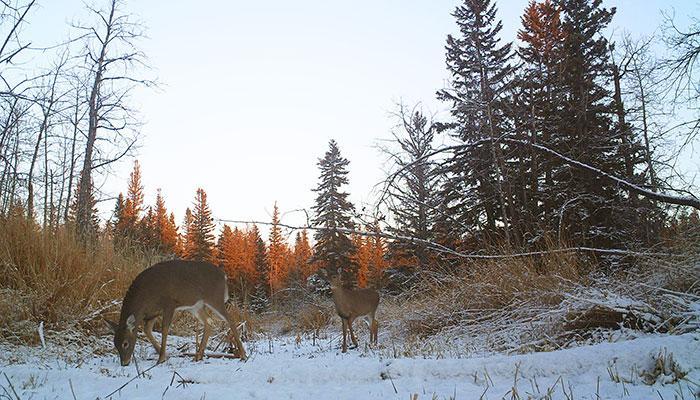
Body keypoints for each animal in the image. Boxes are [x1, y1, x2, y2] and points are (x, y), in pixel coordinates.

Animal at [104, 260, 246, 366]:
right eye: (115, 344)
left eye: (125, 343)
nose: (124, 363)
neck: (145, 297)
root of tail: (224, 276)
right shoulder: (152, 313)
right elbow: (147, 330)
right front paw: (163, 354)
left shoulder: (169, 304)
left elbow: (164, 329)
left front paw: (161, 358)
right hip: (196, 306)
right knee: (209, 322)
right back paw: (198, 356)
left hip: (215, 298)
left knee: (230, 319)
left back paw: (243, 355)